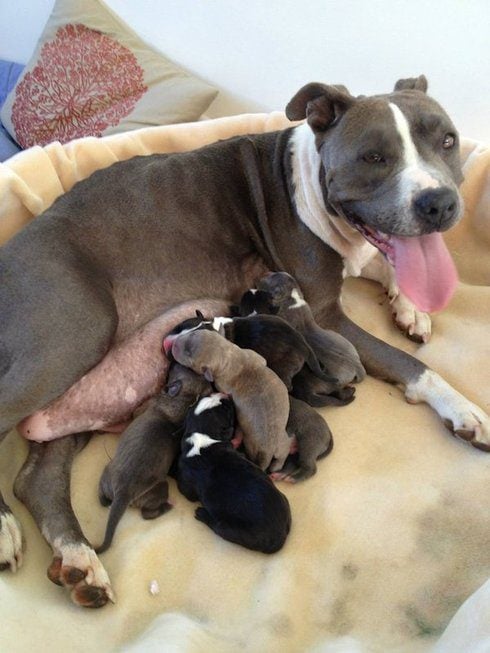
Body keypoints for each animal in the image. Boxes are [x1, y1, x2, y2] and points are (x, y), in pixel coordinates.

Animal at [95, 362, 211, 552]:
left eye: (175, 370)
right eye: (191, 370)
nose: (172, 362)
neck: (187, 399)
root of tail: (124, 493)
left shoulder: (146, 406)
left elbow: (136, 412)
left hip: (128, 478)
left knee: (144, 513)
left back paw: (167, 507)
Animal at [170, 328, 290, 472]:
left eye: (189, 359)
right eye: (194, 333)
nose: (173, 345)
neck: (227, 357)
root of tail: (268, 451)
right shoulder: (251, 354)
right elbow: (263, 360)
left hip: (252, 444)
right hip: (281, 442)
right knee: (283, 453)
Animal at [178, 392, 290, 556]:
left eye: (226, 409)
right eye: (207, 395)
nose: (225, 395)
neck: (202, 434)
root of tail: (280, 537)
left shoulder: (186, 488)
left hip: (228, 528)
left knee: (216, 526)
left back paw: (202, 514)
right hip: (284, 498)